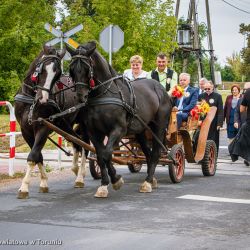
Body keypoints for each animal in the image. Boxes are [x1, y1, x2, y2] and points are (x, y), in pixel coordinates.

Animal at [14, 44, 88, 198]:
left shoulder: (43, 127)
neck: (32, 100)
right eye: (41, 69)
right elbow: (38, 156)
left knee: (85, 144)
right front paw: (43, 183)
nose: (43, 98)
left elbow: (33, 156)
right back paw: (75, 169)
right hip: (66, 124)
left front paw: (24, 187)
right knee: (76, 142)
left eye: (58, 74)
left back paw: (80, 176)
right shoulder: (25, 130)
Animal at [66, 40, 173, 197]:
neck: (103, 95)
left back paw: (147, 182)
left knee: (155, 154)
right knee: (147, 153)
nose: (80, 96)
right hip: (141, 130)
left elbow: (106, 154)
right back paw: (151, 179)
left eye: (86, 68)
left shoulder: (118, 130)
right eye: (72, 69)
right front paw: (104, 184)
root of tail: (160, 88)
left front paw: (116, 180)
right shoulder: (94, 132)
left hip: (158, 127)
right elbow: (101, 156)